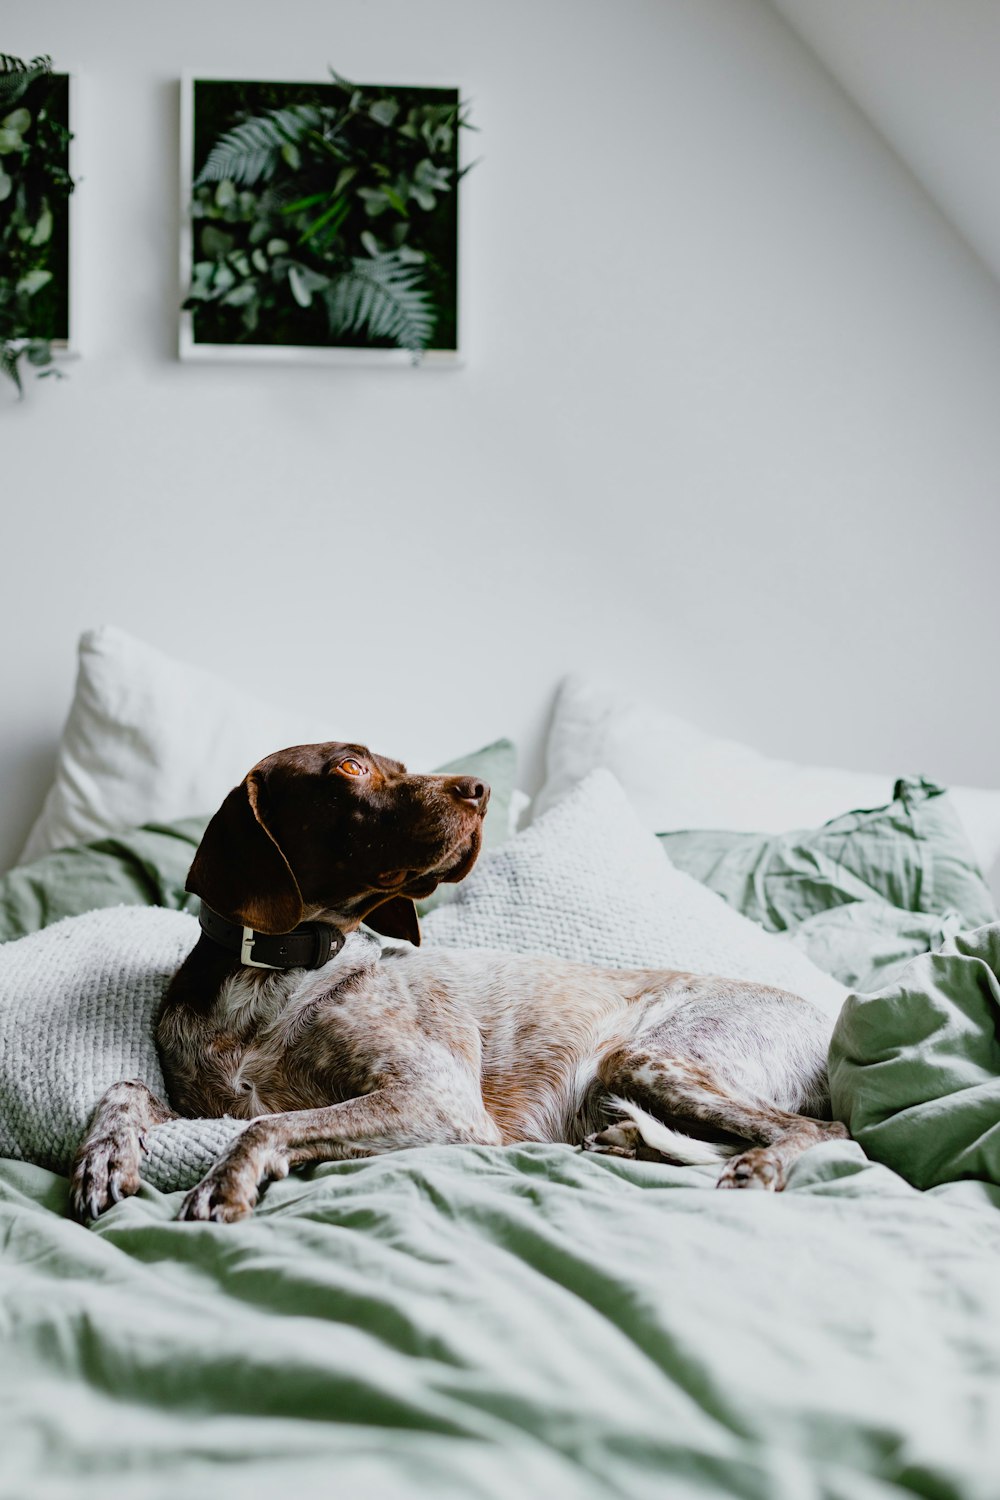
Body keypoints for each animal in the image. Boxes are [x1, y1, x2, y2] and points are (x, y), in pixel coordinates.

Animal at [74, 738, 851, 1218]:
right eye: (350, 768)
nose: (477, 789)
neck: (273, 975)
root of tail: (830, 1019)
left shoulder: (440, 1101)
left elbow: (269, 1126)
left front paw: (221, 1185)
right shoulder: (207, 1105)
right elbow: (126, 1087)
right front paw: (103, 1158)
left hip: (649, 1057)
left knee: (825, 1128)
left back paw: (757, 1168)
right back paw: (629, 1141)